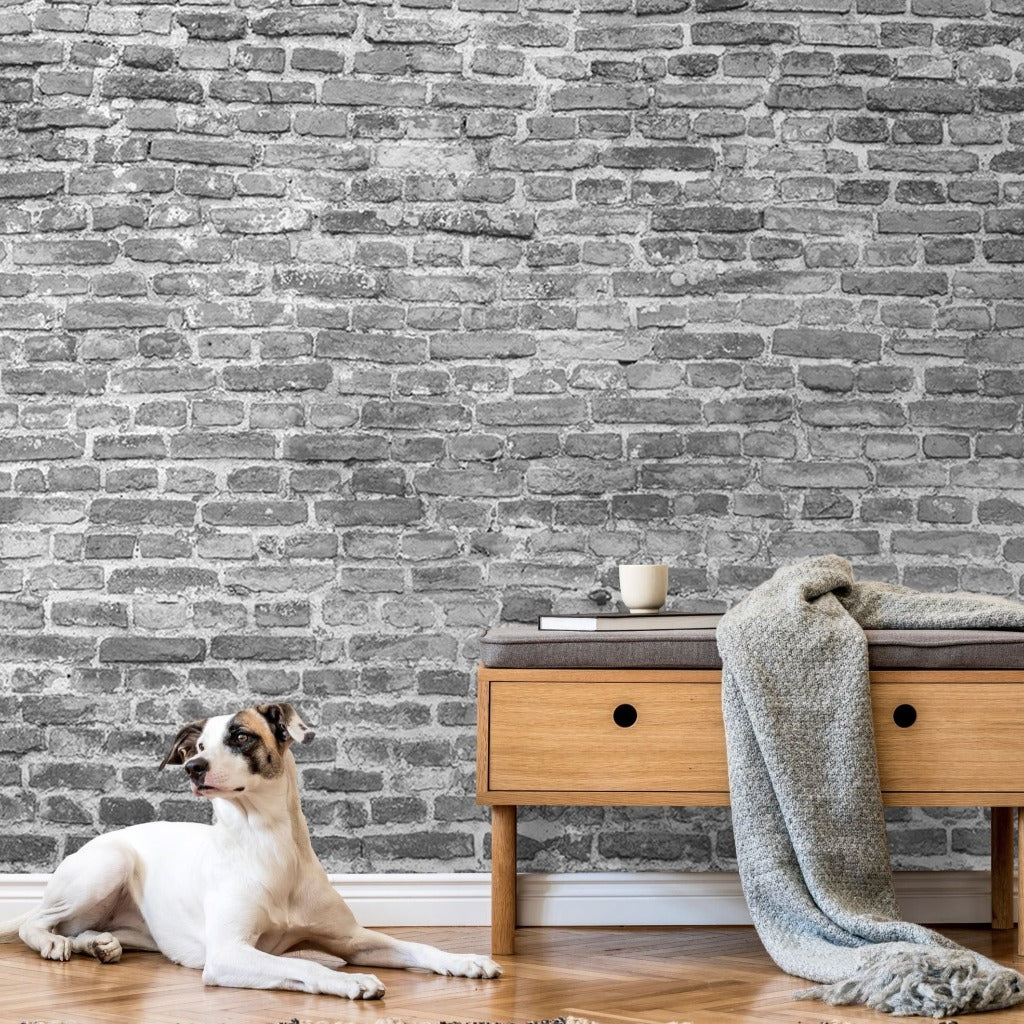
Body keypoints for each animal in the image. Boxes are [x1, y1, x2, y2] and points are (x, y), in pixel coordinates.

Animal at [0, 704, 501, 999]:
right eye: (199, 746)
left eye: (241, 737)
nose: (194, 767)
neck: (268, 844)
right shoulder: (229, 953)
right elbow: (304, 965)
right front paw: (350, 980)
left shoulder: (353, 939)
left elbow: (417, 945)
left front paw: (466, 961)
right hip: (111, 863)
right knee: (34, 922)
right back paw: (53, 942)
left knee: (82, 929)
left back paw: (98, 943)